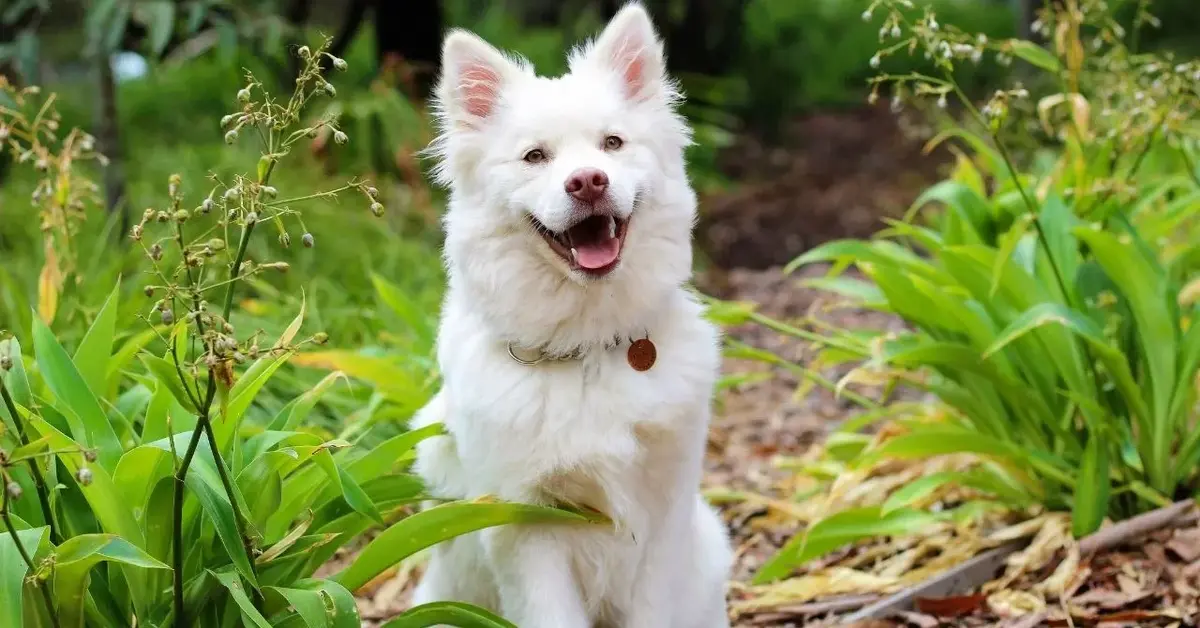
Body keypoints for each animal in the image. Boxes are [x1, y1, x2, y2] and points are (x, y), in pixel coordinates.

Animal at [410, 2, 729, 624]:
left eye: (612, 144)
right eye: (535, 157)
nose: (587, 181)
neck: (588, 347)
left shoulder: (663, 519)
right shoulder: (527, 526)